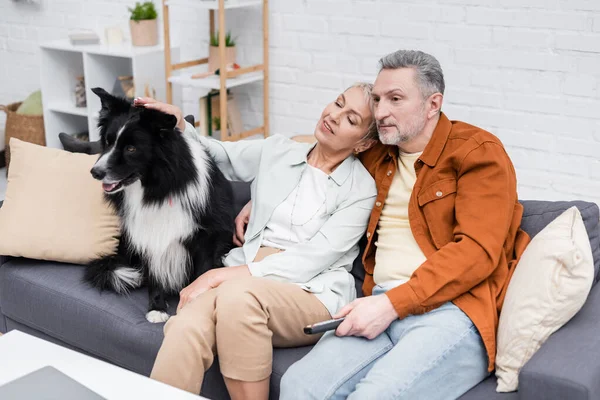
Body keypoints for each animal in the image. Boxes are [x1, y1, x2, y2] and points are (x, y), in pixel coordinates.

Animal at [85, 87, 233, 322]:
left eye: (131, 148)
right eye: (107, 142)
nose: (95, 172)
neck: (157, 188)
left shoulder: (206, 237)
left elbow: (202, 274)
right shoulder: (146, 233)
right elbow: (154, 273)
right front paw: (157, 308)